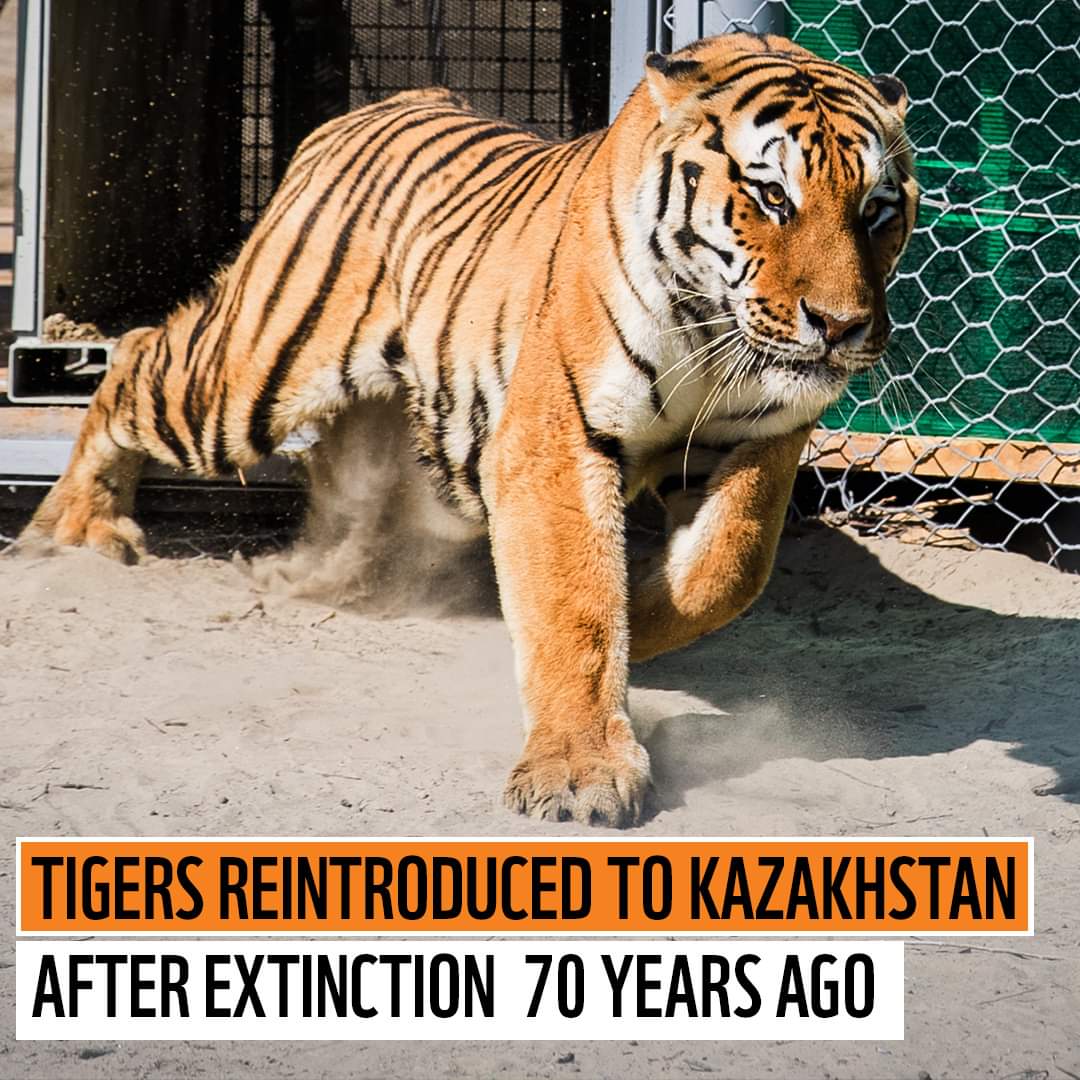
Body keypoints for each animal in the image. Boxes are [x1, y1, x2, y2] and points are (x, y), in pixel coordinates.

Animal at [18, 32, 918, 827]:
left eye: (876, 210)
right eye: (772, 197)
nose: (841, 326)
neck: (712, 328)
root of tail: (393, 100)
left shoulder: (762, 438)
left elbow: (724, 571)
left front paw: (643, 614)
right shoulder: (555, 440)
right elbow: (575, 605)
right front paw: (581, 771)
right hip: (247, 381)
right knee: (135, 354)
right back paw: (72, 529)